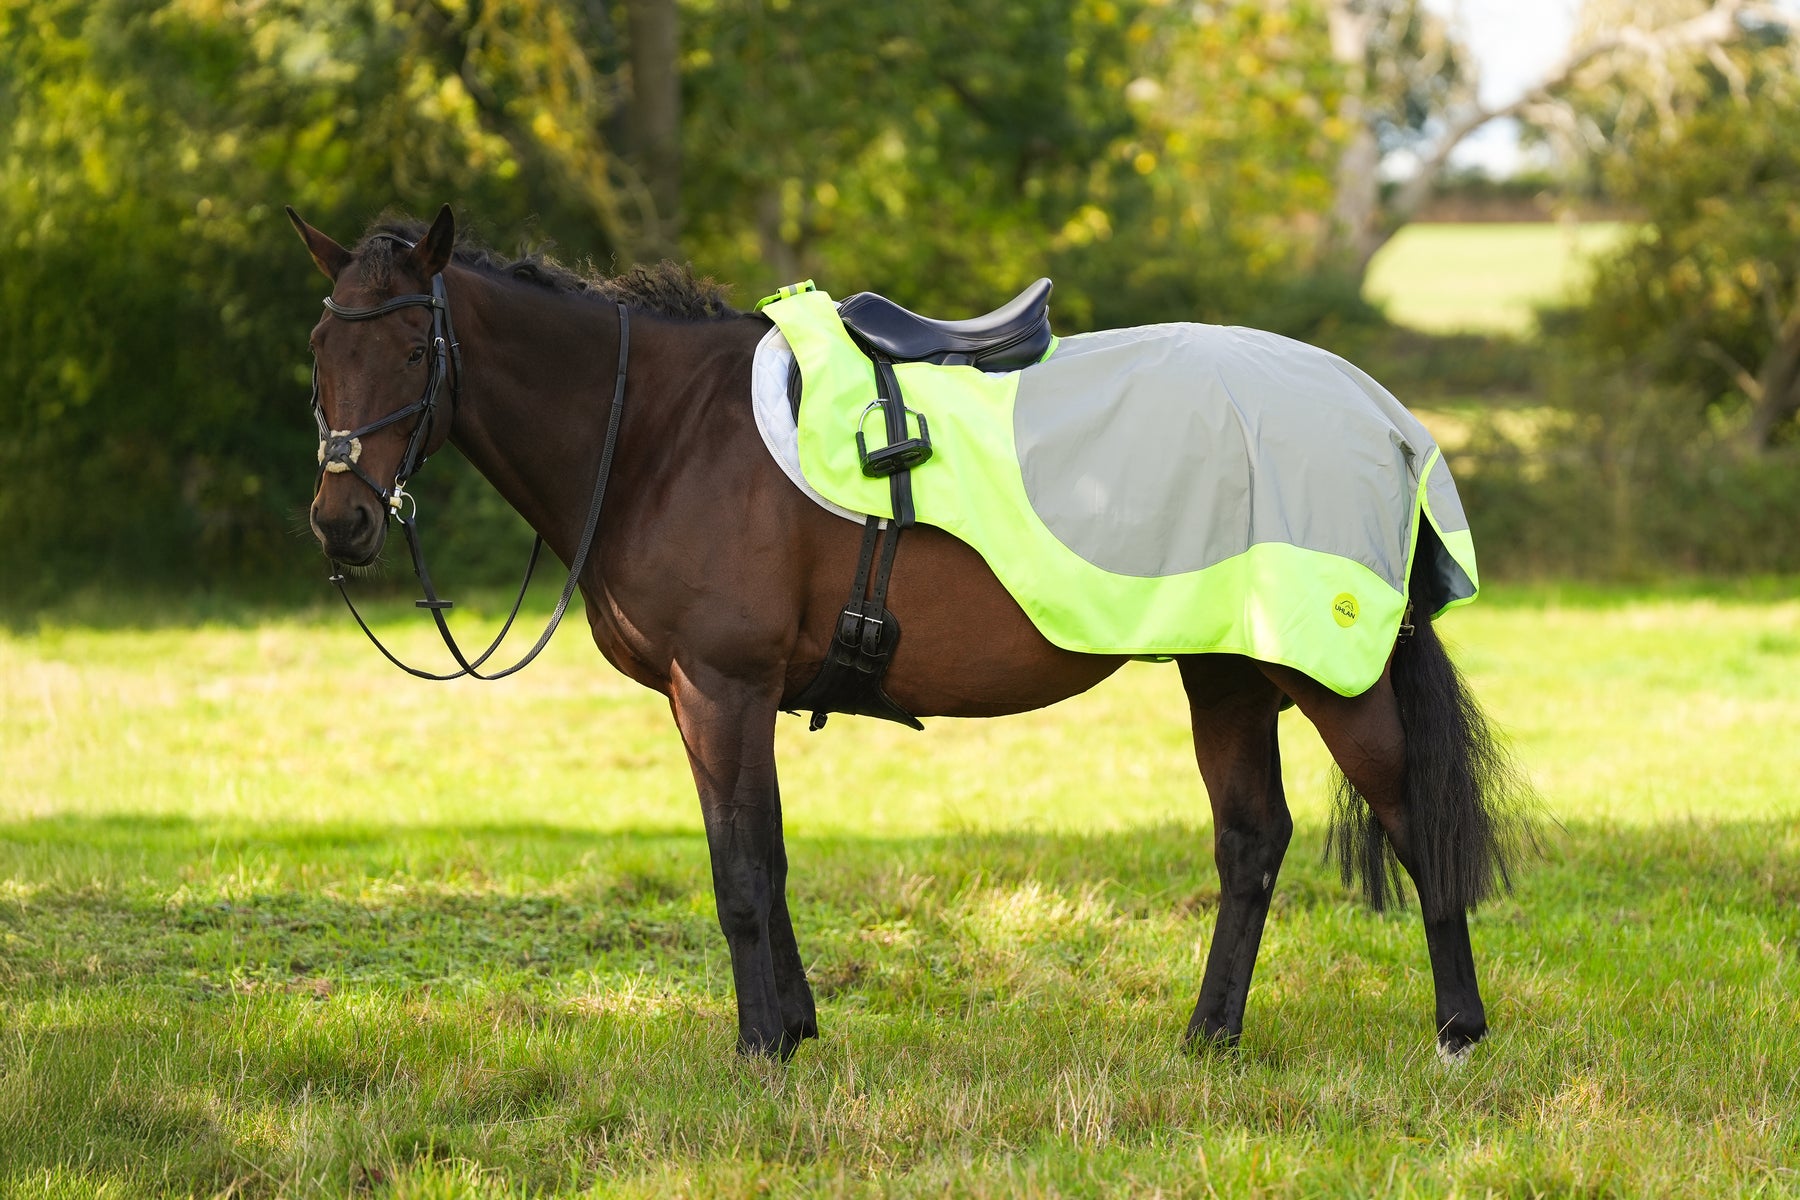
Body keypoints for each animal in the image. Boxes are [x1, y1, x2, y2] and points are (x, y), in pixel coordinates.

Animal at [288, 204, 1532, 1061]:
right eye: (321, 350)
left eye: (413, 352)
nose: (341, 522)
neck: (660, 433)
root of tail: (1380, 418)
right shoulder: (718, 700)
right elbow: (764, 856)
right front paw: (794, 1030)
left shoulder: (724, 686)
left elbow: (742, 873)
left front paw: (758, 1050)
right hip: (1226, 672)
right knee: (1252, 843)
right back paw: (1207, 1039)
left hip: (1328, 678)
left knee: (1415, 821)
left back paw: (1458, 1032)